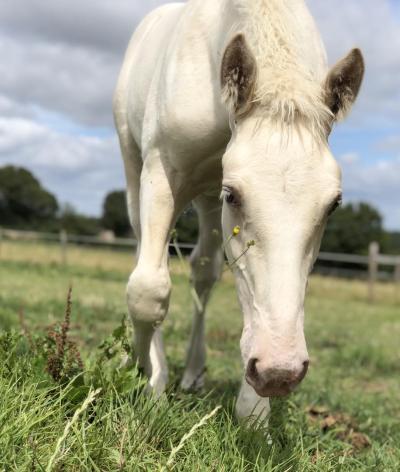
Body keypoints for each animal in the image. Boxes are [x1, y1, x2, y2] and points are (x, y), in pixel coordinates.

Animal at [114, 0, 364, 424]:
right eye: (235, 195)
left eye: (334, 204)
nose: (279, 372)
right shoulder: (163, 172)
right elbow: (149, 289)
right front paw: (149, 379)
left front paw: (254, 417)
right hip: (137, 169)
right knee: (147, 258)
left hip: (206, 201)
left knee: (204, 270)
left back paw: (194, 373)